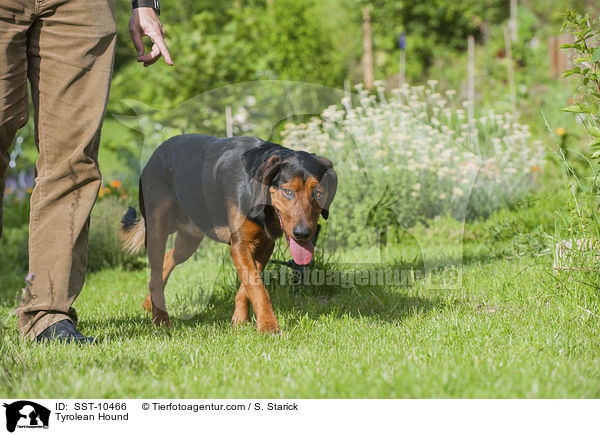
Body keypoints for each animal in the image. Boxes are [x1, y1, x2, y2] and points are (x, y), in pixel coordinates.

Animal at [119, 135, 336, 334]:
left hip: (189, 238)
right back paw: (161, 320)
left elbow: (248, 287)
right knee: (156, 274)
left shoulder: (264, 246)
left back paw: (149, 305)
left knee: (166, 262)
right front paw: (268, 326)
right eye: (287, 192)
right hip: (156, 229)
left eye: (318, 193)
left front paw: (240, 320)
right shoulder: (240, 245)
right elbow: (258, 288)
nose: (303, 234)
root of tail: (155, 154)